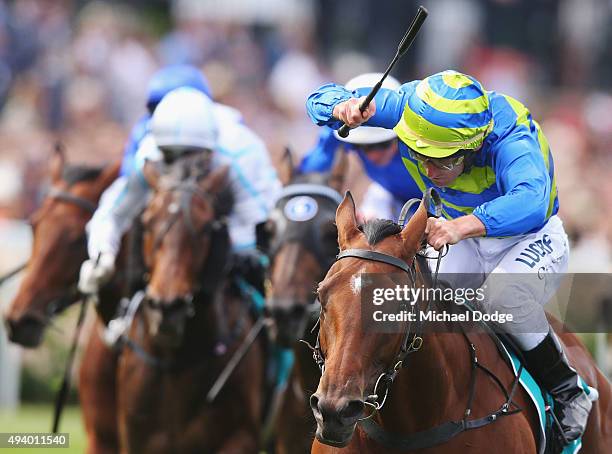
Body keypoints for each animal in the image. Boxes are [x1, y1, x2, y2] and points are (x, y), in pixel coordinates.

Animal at [116, 154, 264, 452]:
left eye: (206, 227)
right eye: (148, 222)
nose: (167, 308)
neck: (177, 363)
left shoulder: (240, 436)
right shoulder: (134, 436)